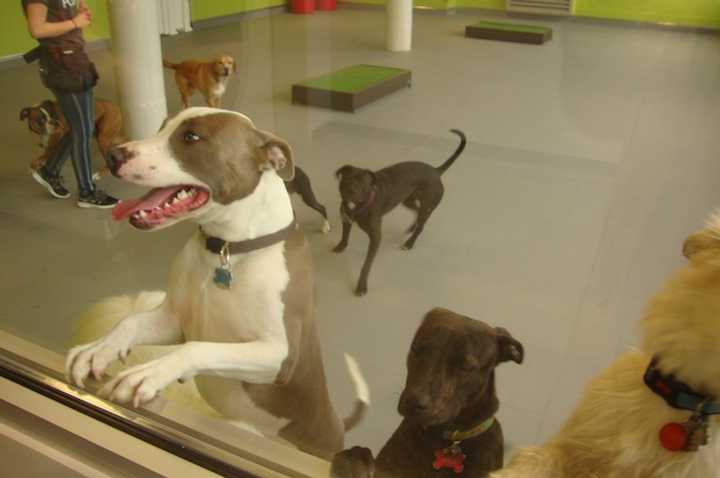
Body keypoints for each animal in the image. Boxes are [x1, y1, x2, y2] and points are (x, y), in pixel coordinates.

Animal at [64, 106, 368, 458]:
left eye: (192, 136)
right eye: (162, 126)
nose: (113, 155)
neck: (227, 250)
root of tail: (337, 424)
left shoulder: (278, 355)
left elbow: (198, 348)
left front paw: (148, 373)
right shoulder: (175, 321)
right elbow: (128, 323)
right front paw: (97, 350)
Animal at [336, 129, 470, 296]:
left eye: (363, 184)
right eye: (347, 179)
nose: (351, 191)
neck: (359, 206)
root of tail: (435, 171)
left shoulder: (375, 238)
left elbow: (366, 265)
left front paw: (361, 286)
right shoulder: (345, 219)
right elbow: (344, 236)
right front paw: (341, 246)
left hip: (426, 204)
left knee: (422, 224)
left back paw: (409, 243)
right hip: (407, 200)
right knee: (417, 212)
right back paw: (412, 227)